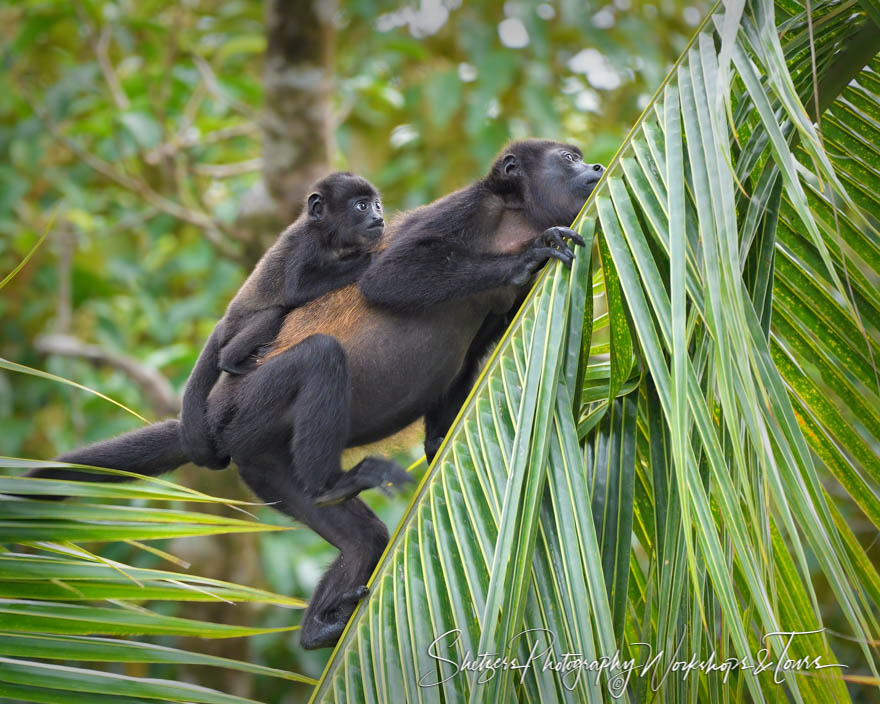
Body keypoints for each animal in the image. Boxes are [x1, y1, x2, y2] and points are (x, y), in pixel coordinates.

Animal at [179, 171, 384, 470]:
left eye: (377, 204)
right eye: (361, 206)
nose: (379, 216)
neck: (330, 238)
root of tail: (224, 323)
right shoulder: (305, 244)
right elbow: (297, 289)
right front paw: (368, 258)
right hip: (239, 327)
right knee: (275, 312)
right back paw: (233, 361)